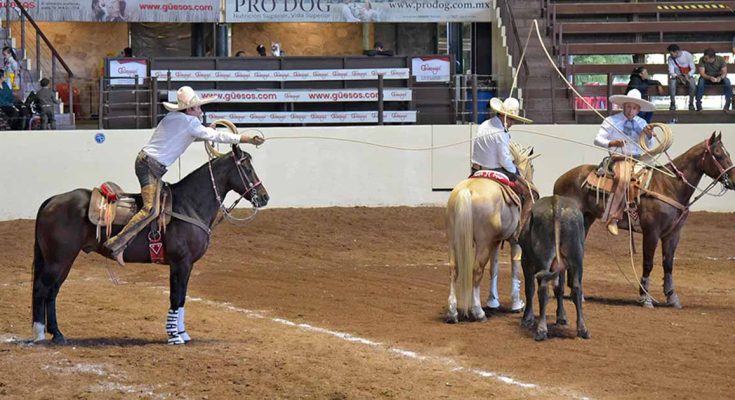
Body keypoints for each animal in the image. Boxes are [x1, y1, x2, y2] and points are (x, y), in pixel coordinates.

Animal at [31, 145, 268, 346]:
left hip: (64, 260)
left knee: (52, 291)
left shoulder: (187, 265)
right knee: (42, 288)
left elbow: (182, 297)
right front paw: (174, 337)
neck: (188, 205)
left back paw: (57, 334)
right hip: (58, 259)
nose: (264, 197)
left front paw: (183, 333)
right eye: (246, 167)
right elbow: (176, 297)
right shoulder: (180, 263)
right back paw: (40, 333)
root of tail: (51, 200)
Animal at [446, 144, 536, 322]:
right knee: (476, 270)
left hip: (455, 239)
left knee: (454, 269)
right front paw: (517, 304)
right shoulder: (515, 241)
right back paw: (478, 311)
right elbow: (515, 267)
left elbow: (494, 268)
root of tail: (467, 191)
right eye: (533, 167)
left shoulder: (495, 242)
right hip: (482, 243)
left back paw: (452, 312)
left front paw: (493, 301)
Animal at [556, 133, 735, 308]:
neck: (669, 186)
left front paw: (672, 297)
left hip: (586, 220)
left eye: (728, 153)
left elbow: (668, 264)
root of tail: (560, 179)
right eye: (718, 154)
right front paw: (645, 298)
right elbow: (648, 263)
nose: (733, 180)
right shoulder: (651, 232)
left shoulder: (673, 234)